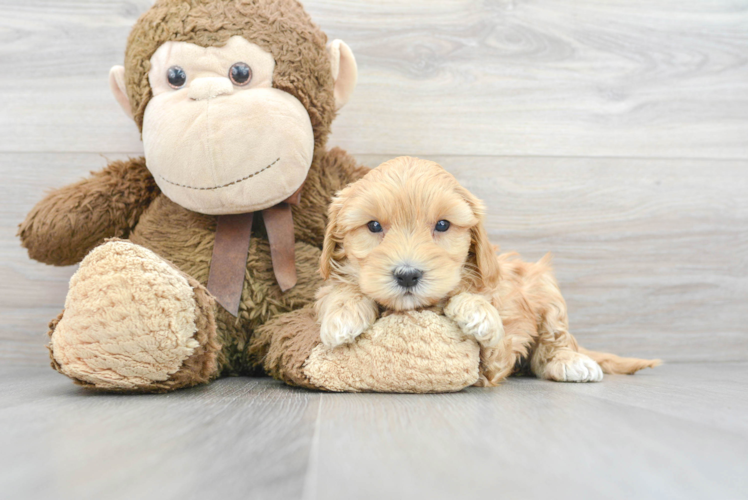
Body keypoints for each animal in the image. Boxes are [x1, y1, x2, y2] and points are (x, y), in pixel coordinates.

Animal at [316, 156, 660, 382]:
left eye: (443, 225)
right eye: (373, 226)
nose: (408, 275)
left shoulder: (496, 358)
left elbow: (482, 320)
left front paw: (478, 312)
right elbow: (338, 288)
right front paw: (343, 314)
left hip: (544, 285)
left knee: (555, 340)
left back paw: (571, 362)